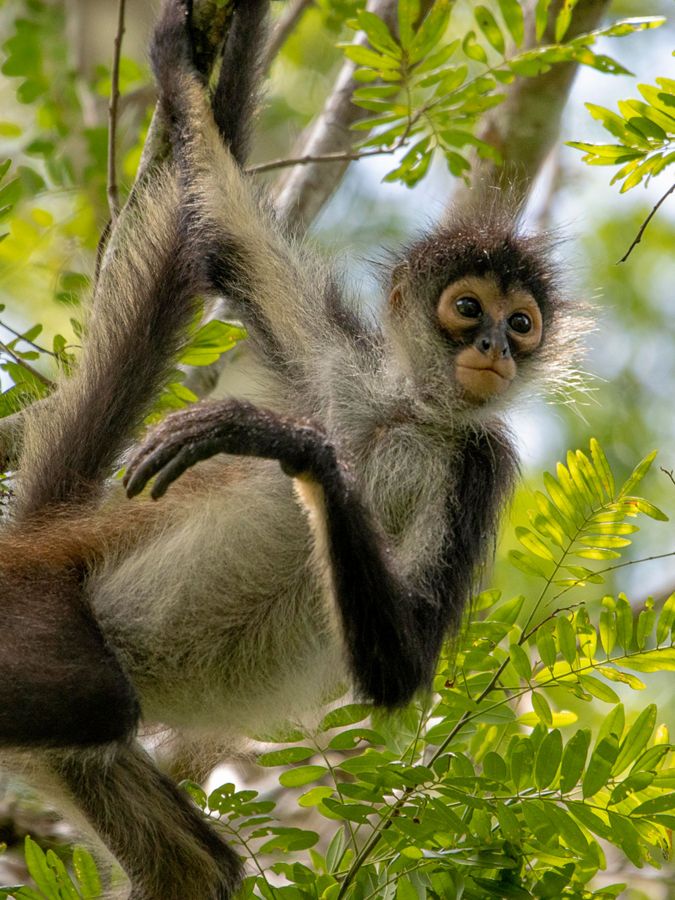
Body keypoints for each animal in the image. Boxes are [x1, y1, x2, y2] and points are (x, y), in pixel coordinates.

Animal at [0, 1, 580, 900]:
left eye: (522, 323)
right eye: (467, 308)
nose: (494, 347)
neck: (407, 415)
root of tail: (42, 543)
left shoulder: (477, 460)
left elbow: (398, 668)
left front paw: (285, 445)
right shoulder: (341, 366)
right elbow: (226, 234)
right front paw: (179, 63)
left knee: (162, 813)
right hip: (37, 607)